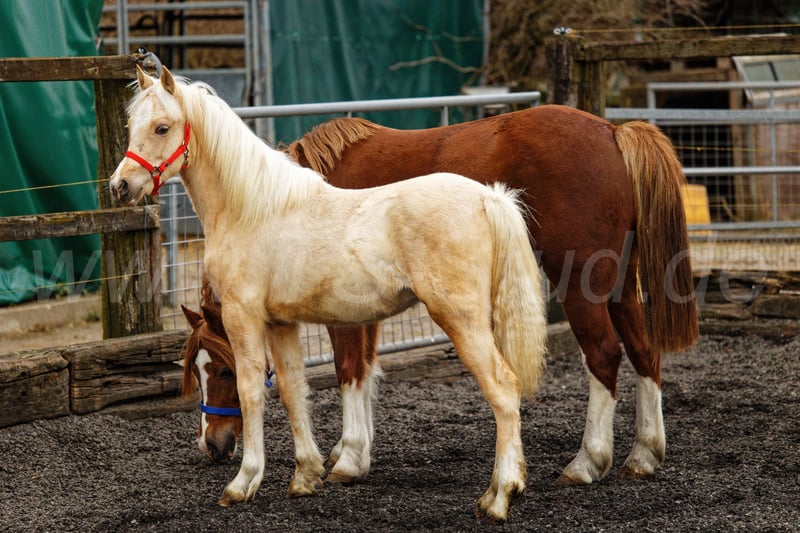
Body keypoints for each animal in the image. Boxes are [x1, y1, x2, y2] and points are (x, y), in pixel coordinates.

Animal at [109, 65, 548, 522]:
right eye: (131, 125)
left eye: (162, 127)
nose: (120, 186)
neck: (253, 210)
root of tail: (487, 197)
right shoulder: (281, 323)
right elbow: (292, 391)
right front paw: (306, 475)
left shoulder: (243, 317)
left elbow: (253, 392)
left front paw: (244, 482)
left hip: (461, 321)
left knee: (503, 389)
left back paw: (499, 495)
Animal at [180, 92, 699, 489]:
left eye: (222, 370)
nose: (212, 445)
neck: (286, 199)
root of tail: (612, 133)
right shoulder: (362, 306)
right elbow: (366, 370)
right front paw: (351, 451)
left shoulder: (339, 310)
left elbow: (348, 369)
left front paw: (349, 458)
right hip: (620, 284)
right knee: (644, 352)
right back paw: (644, 453)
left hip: (580, 286)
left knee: (604, 356)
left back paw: (587, 462)